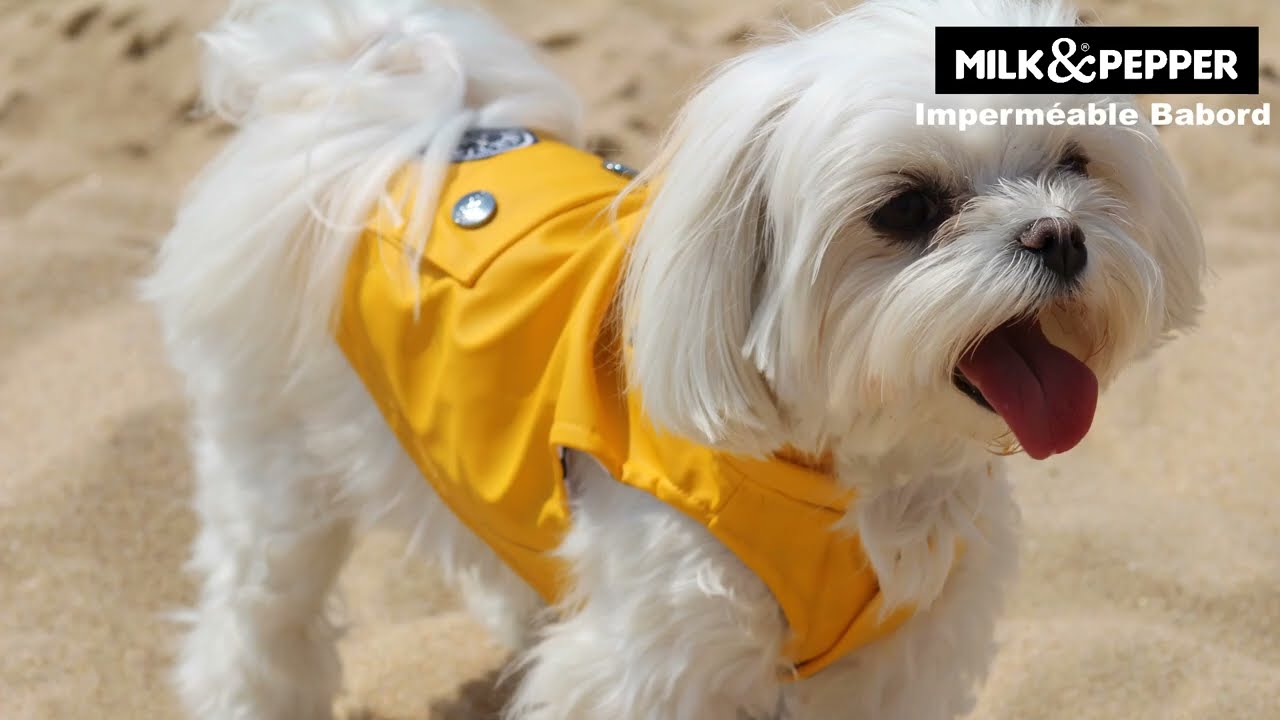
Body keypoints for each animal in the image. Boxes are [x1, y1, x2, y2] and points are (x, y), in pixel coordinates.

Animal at [145, 0, 1203, 712]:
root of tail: (391, 124)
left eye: (1073, 162)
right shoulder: (656, 662)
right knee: (256, 618)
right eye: (905, 208)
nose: (1060, 236)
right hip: (278, 467)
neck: (847, 478)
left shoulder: (898, 659)